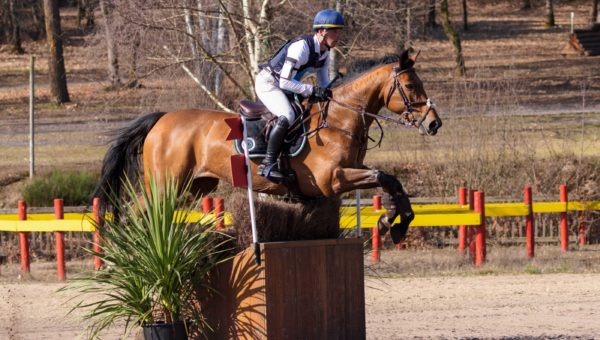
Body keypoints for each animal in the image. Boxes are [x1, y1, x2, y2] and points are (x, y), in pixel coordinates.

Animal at [94, 49, 440, 242]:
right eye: (411, 85)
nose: (434, 123)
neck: (341, 117)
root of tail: (162, 119)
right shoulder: (332, 179)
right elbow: (385, 177)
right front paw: (394, 223)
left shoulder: (352, 170)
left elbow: (391, 182)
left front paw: (394, 223)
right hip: (165, 184)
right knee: (135, 212)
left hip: (193, 186)